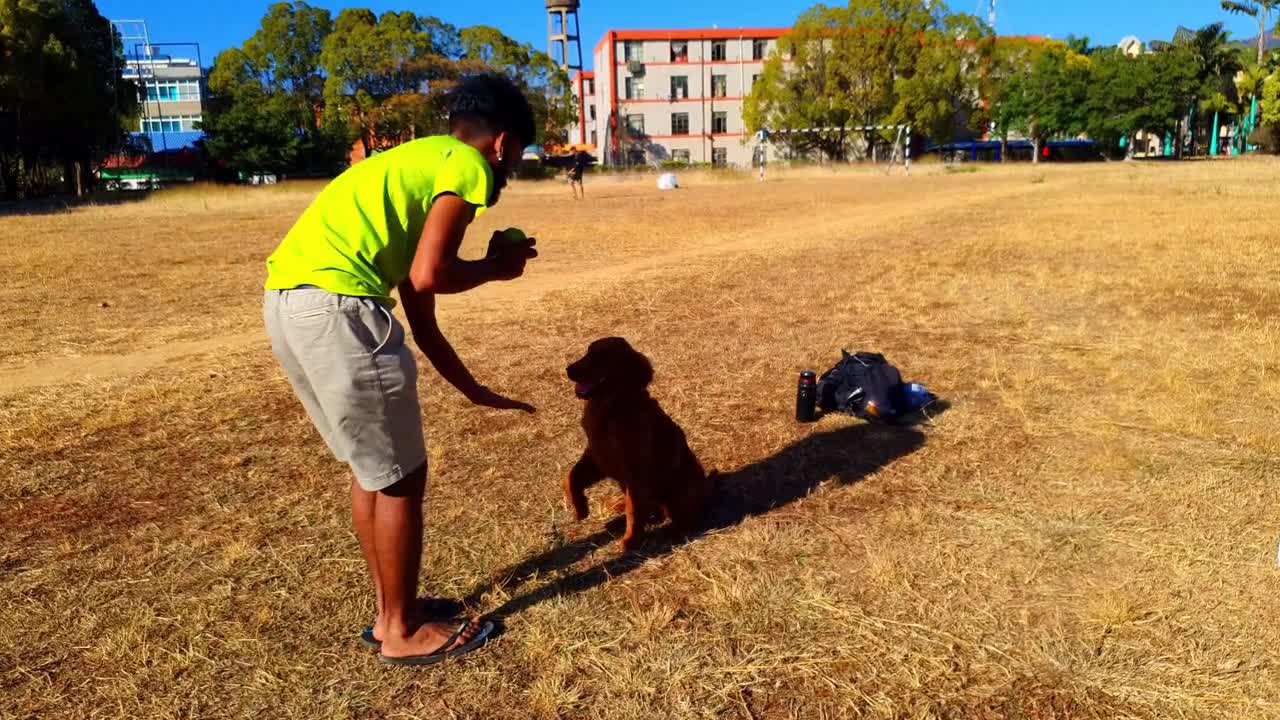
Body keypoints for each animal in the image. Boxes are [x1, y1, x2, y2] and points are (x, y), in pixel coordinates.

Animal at [565, 335, 716, 548]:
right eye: (587, 352)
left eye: (601, 356)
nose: (568, 370)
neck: (611, 409)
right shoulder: (596, 456)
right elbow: (570, 477)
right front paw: (580, 508)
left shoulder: (634, 470)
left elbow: (634, 510)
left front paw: (629, 541)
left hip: (681, 487)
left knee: (681, 516)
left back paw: (675, 531)